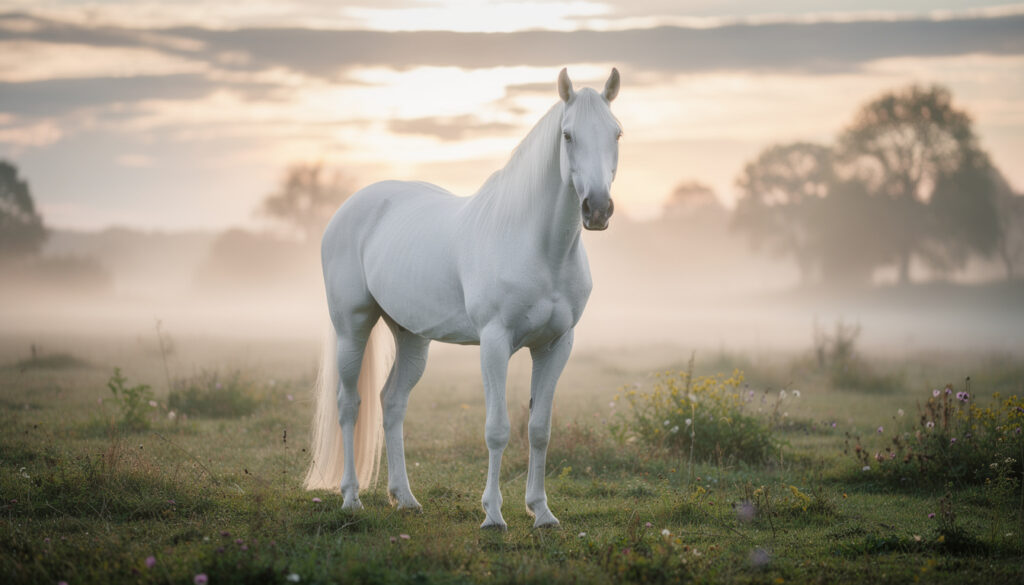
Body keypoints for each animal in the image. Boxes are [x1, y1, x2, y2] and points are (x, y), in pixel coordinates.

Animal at [304, 68, 622, 529]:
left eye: (617, 133)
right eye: (567, 135)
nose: (597, 209)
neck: (538, 246)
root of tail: (350, 207)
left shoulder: (555, 345)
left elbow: (539, 429)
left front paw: (542, 512)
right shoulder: (494, 342)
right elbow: (498, 429)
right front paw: (493, 516)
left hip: (411, 337)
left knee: (392, 402)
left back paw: (405, 498)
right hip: (353, 326)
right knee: (350, 404)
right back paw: (351, 498)